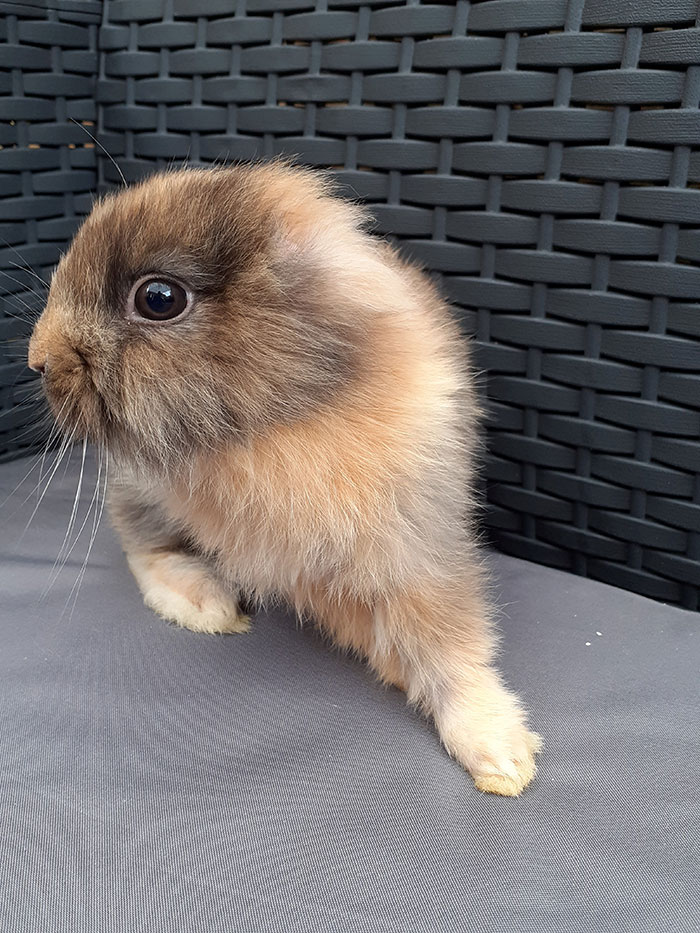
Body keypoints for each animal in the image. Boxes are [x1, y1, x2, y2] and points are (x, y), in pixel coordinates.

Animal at [28, 162, 541, 796]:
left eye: (159, 298)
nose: (37, 359)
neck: (273, 424)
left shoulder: (418, 554)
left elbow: (451, 648)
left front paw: (501, 758)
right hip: (140, 492)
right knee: (147, 550)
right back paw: (204, 603)